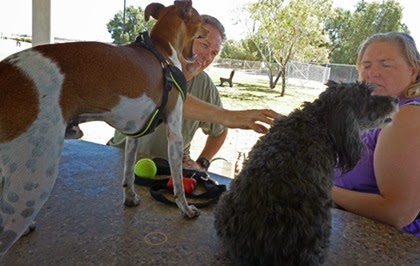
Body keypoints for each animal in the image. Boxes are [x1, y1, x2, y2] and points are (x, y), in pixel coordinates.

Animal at [0, 0, 205, 256]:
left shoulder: (135, 132)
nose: (212, 28)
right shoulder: (175, 133)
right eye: (201, 19)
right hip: (31, 183)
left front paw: (130, 197)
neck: (162, 52)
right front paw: (186, 209)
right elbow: (178, 181)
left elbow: (128, 172)